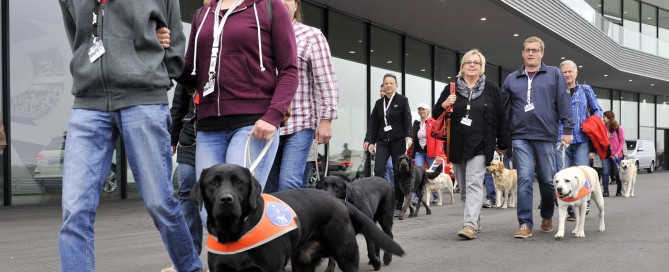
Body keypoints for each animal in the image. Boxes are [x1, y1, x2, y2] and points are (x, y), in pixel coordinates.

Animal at [190, 164, 404, 272]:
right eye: (213, 183)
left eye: (239, 182)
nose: (226, 199)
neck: (236, 232)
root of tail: (340, 202)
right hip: (303, 263)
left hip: (347, 255)